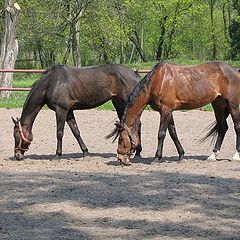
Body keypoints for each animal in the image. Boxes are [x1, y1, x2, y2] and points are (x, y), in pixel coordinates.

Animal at [12, 63, 142, 161]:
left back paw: (138, 152)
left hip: (126, 102)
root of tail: (134, 73)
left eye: (16, 135)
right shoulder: (69, 112)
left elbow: (59, 133)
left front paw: (57, 155)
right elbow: (76, 132)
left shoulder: (61, 110)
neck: (51, 83)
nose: (17, 155)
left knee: (137, 124)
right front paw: (85, 152)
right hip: (118, 103)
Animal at [111, 61, 240, 165]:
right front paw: (181, 155)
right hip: (218, 104)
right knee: (223, 127)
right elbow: (173, 133)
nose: (120, 158)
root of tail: (235, 71)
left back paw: (236, 156)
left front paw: (157, 158)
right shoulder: (168, 112)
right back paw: (213, 155)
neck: (159, 80)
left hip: (232, 105)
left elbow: (161, 134)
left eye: (121, 139)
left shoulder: (166, 110)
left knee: (237, 127)